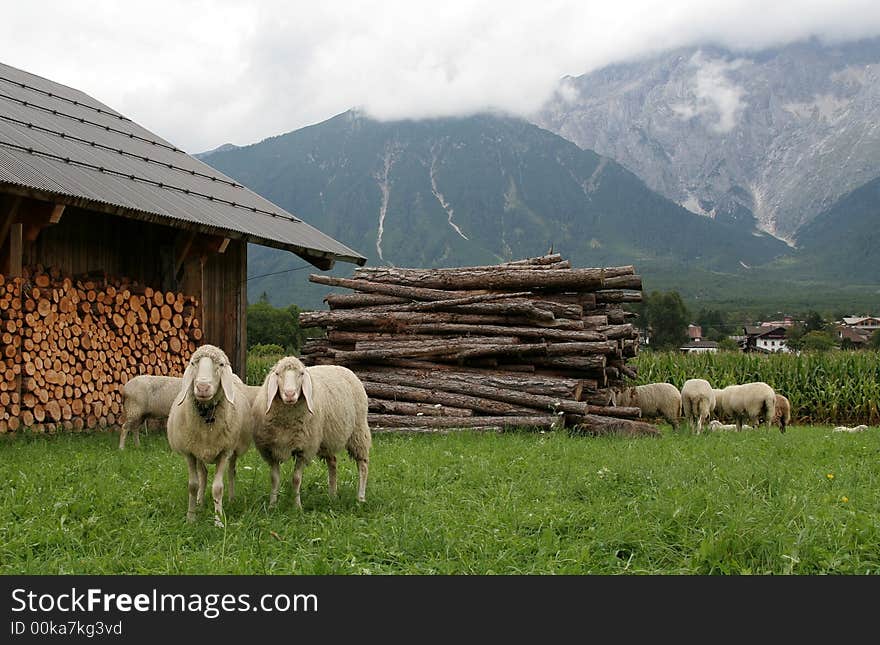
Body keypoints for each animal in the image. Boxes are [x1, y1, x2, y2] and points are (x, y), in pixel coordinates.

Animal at [166, 344, 254, 524]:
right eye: (193, 363)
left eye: (220, 365)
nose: (202, 387)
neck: (207, 414)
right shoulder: (190, 453)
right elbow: (193, 485)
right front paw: (191, 517)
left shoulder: (224, 452)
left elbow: (218, 488)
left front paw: (218, 520)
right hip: (199, 450)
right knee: (203, 474)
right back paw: (200, 502)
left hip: (234, 450)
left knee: (232, 472)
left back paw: (232, 499)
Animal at [251, 354, 372, 506]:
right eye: (278, 374)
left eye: (301, 374)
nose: (290, 394)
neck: (286, 422)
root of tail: (343, 368)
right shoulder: (271, 450)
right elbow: (274, 478)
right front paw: (272, 505)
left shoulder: (304, 449)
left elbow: (296, 479)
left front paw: (297, 506)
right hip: (327, 439)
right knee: (333, 462)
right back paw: (332, 496)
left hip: (358, 431)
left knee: (363, 465)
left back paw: (360, 498)